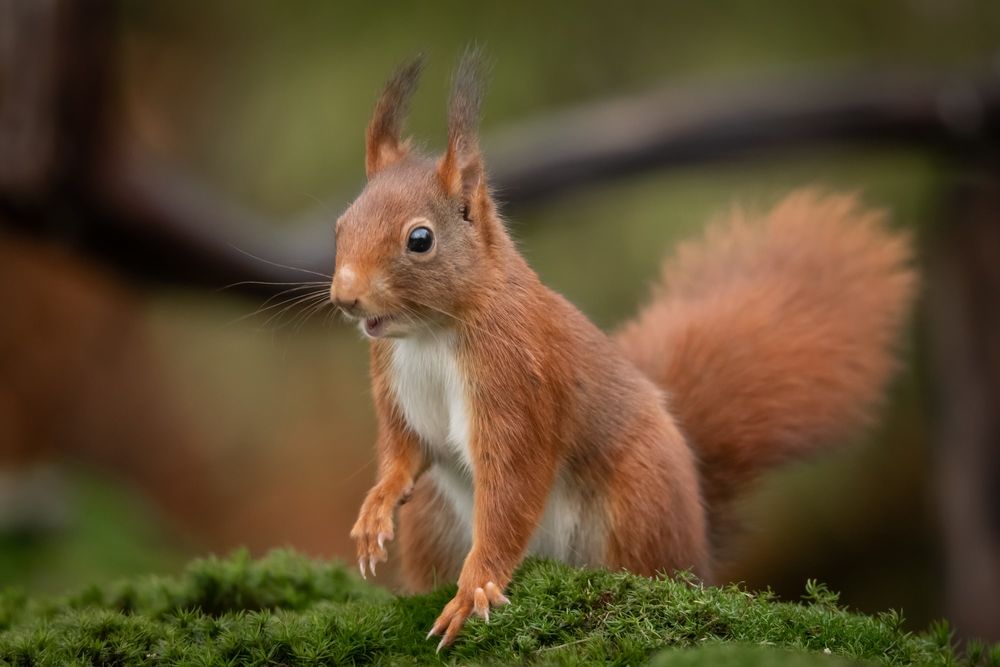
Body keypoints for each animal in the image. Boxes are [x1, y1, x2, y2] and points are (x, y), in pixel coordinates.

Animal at [332, 54, 916, 648]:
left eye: (420, 240)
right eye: (340, 226)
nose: (345, 297)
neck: (429, 336)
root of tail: (696, 537)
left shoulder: (518, 381)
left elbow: (512, 490)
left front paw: (475, 590)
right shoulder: (394, 385)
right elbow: (404, 452)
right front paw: (377, 508)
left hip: (638, 501)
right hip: (433, 520)